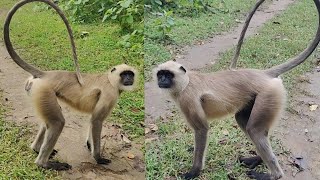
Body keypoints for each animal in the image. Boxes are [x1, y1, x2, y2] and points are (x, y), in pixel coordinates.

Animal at [3, 0, 138, 170]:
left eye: (130, 74)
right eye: (124, 74)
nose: (129, 79)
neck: (110, 79)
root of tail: (46, 74)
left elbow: (92, 120)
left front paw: (89, 145)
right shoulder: (110, 93)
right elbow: (96, 121)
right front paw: (98, 157)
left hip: (39, 93)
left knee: (48, 122)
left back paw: (35, 149)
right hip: (44, 91)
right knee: (57, 123)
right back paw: (44, 163)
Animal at [154, 0, 320, 179]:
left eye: (168, 75)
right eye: (161, 74)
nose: (162, 80)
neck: (186, 82)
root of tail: (263, 74)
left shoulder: (187, 99)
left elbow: (202, 129)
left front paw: (194, 172)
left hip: (269, 94)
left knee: (254, 130)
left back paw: (273, 174)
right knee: (243, 120)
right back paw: (257, 159)